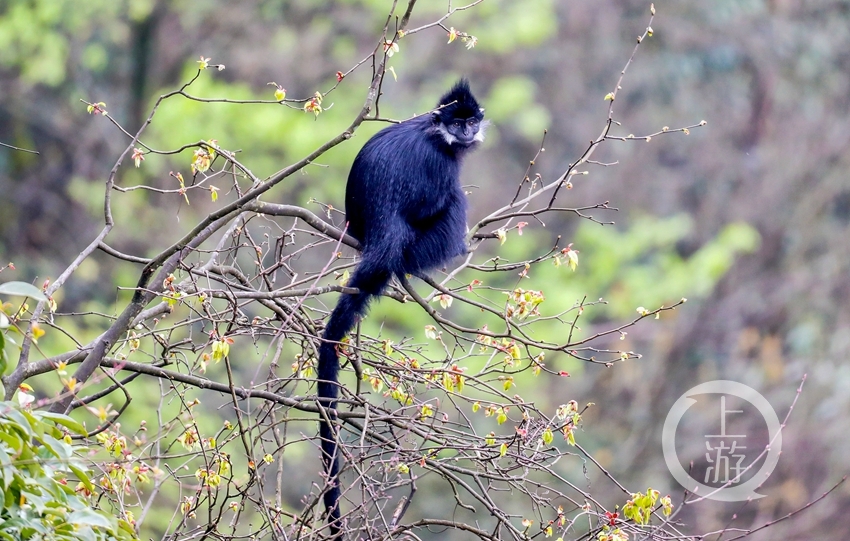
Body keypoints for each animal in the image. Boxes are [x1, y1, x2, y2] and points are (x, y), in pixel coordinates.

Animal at [314, 79, 484, 536]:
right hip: (419, 244)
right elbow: (438, 199)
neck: (435, 132)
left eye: (471, 121)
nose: (466, 132)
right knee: (454, 204)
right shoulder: (439, 163)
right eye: (457, 123)